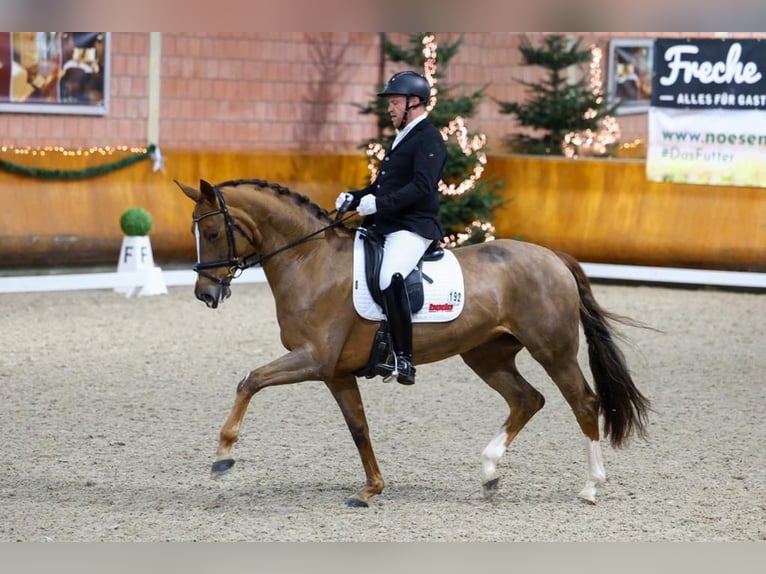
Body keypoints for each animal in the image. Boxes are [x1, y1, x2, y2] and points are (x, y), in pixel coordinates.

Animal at [177, 179, 652, 508]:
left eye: (214, 232)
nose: (206, 294)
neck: (309, 260)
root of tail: (553, 256)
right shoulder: (335, 373)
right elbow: (359, 429)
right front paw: (370, 489)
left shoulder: (314, 359)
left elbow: (250, 380)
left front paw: (223, 455)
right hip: (487, 354)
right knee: (527, 399)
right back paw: (489, 472)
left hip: (552, 350)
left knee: (583, 403)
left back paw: (590, 487)